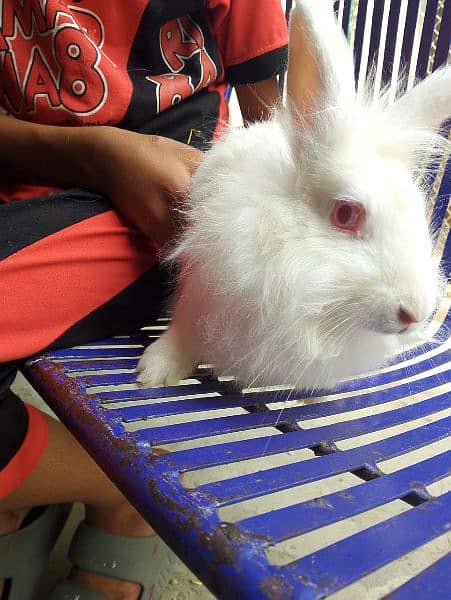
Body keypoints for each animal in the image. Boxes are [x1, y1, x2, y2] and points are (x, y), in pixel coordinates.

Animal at [138, 0, 451, 392]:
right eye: (346, 214)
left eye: (418, 212)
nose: (416, 312)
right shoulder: (199, 288)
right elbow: (183, 328)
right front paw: (154, 371)